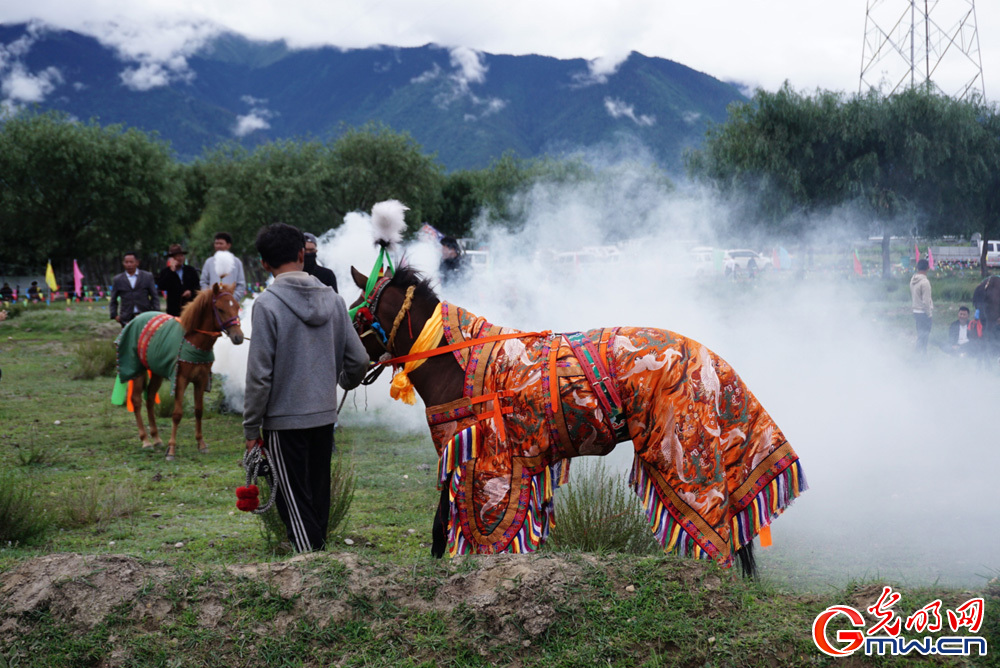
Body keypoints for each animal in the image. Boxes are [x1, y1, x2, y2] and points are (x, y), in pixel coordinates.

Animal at [114, 280, 244, 460]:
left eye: (237, 306)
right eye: (220, 309)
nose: (238, 337)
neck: (194, 339)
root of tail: (135, 318)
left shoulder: (201, 380)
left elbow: (198, 411)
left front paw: (201, 444)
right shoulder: (180, 379)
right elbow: (177, 414)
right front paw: (172, 449)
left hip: (157, 371)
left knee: (150, 398)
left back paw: (156, 438)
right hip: (138, 370)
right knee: (137, 401)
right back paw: (146, 440)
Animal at [348, 205, 808, 576]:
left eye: (357, 315)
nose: (347, 367)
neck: (452, 360)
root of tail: (709, 357)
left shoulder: (468, 453)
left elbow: (445, 523)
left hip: (684, 458)